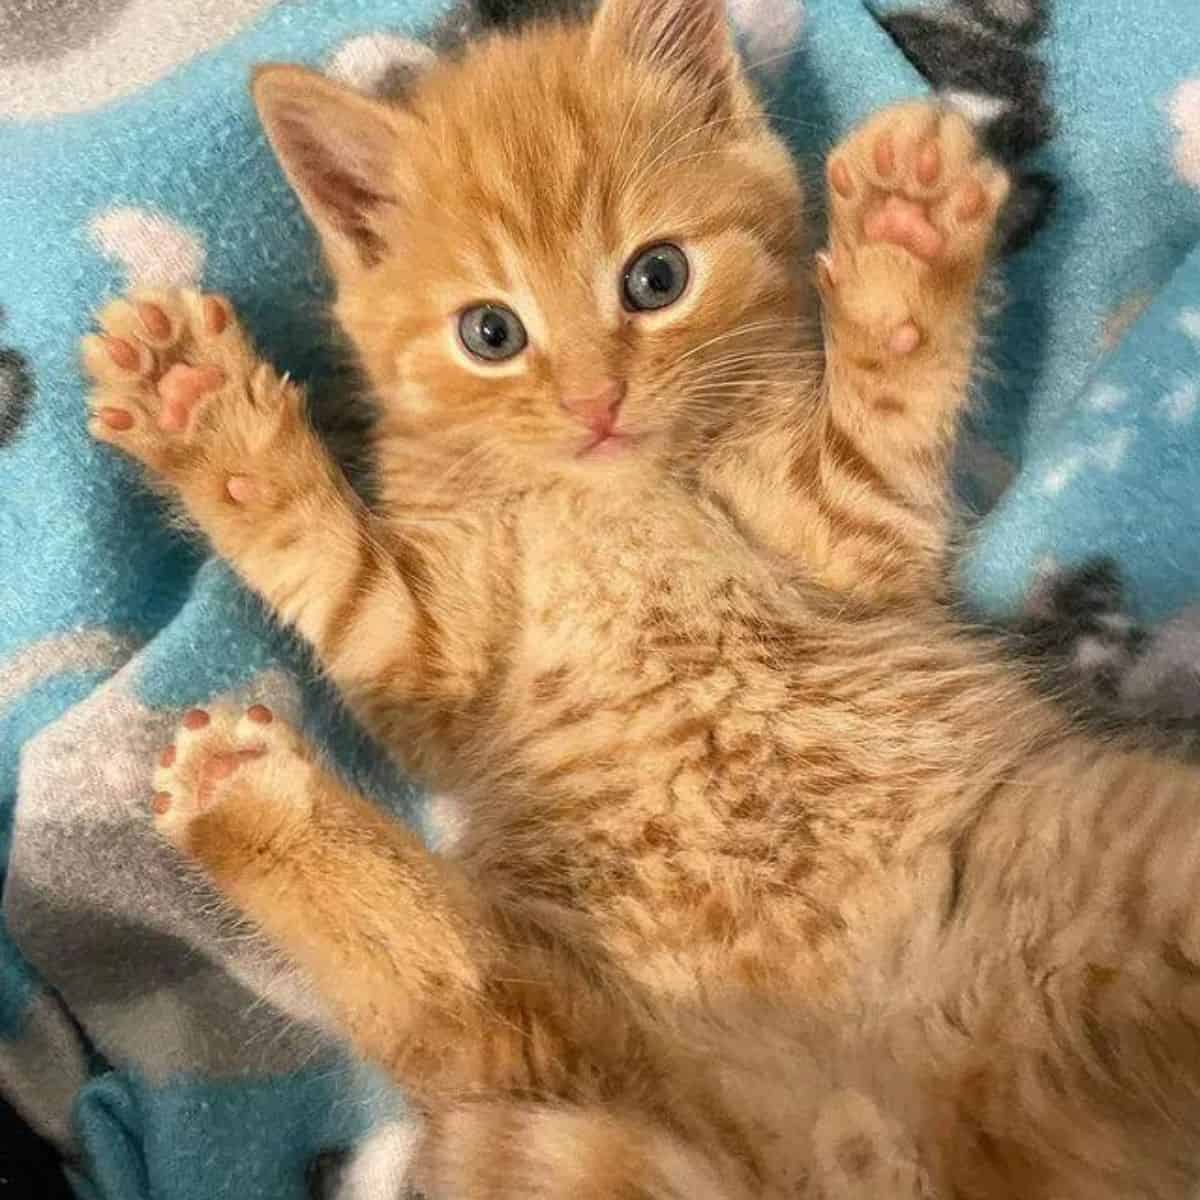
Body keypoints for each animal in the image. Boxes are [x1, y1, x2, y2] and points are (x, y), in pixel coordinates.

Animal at [77, 2, 1200, 1200]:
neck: (611, 499)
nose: (597, 402)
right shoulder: (430, 674)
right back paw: (245, 796)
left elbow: (880, 431)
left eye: (656, 279)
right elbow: (337, 574)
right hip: (570, 1077)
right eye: (491, 333)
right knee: (480, 1010)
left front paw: (901, 252)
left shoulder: (846, 538)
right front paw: (208, 419)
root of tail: (848, 1131)